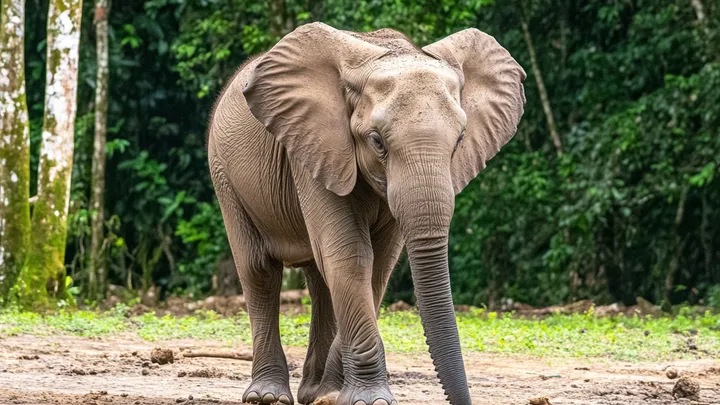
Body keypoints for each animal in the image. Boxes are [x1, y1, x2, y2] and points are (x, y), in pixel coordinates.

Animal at [207, 22, 525, 405]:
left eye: (461, 139)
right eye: (377, 141)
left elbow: (379, 264)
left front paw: (334, 394)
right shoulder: (315, 148)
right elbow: (351, 257)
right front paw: (368, 399)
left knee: (319, 279)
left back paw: (315, 392)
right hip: (224, 175)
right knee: (259, 270)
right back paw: (268, 396)